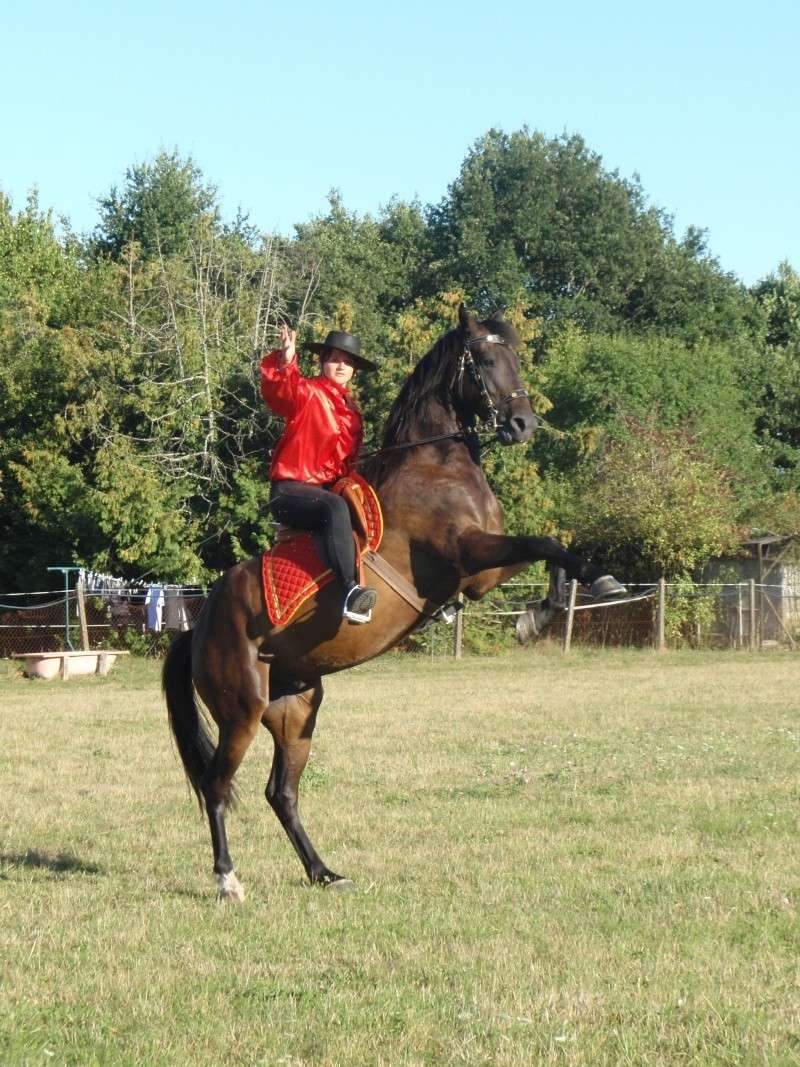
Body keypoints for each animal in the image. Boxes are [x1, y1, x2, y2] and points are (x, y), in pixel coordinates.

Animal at [164, 307, 627, 900]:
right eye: (483, 359)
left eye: (515, 356)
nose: (523, 424)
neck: (437, 466)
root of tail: (198, 628)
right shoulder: (466, 554)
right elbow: (545, 542)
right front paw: (598, 584)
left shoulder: (481, 572)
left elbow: (548, 548)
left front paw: (540, 614)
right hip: (240, 711)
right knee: (218, 785)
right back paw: (228, 880)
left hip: (297, 710)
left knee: (280, 793)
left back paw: (324, 872)